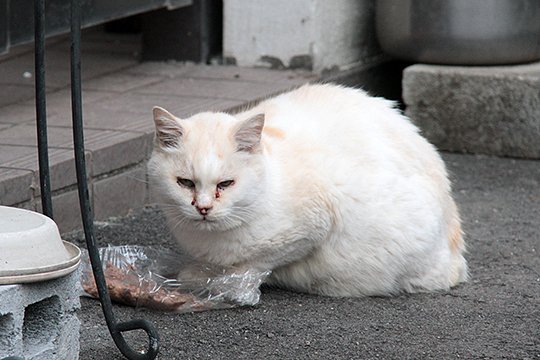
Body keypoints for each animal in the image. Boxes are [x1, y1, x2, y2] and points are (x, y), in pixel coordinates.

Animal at [149, 83, 468, 296]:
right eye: (185, 183)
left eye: (225, 184)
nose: (203, 208)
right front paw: (200, 273)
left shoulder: (312, 227)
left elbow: (253, 264)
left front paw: (228, 282)